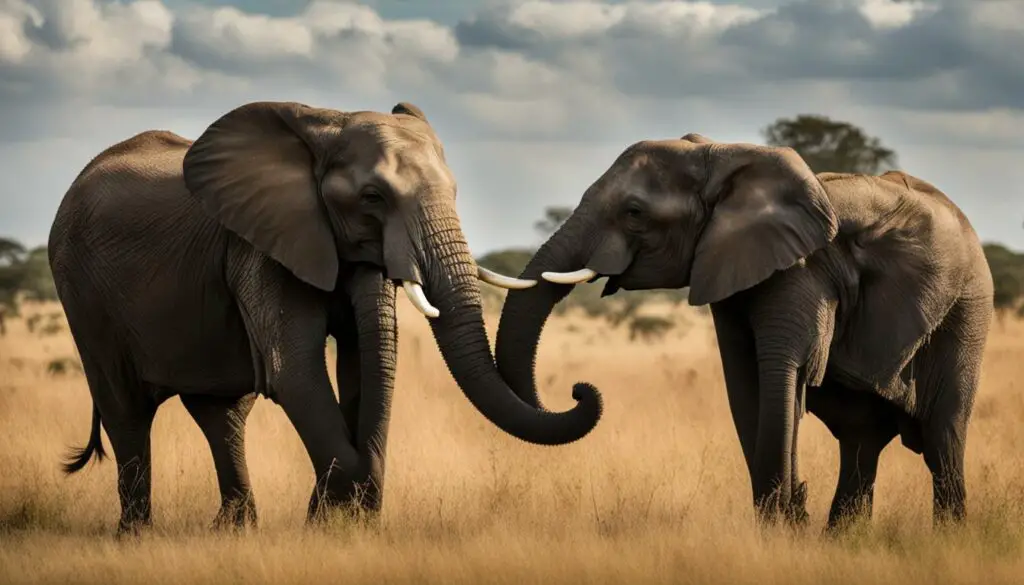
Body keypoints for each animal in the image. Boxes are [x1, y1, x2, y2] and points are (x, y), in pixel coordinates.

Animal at [48, 100, 603, 535]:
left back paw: (233, 530)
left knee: (221, 412)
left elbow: (367, 362)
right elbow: (295, 372)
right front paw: (338, 519)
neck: (323, 126)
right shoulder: (261, 243)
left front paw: (341, 519)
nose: (581, 390)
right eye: (373, 198)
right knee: (125, 408)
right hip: (80, 287)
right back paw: (136, 536)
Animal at [493, 133, 994, 531]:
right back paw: (842, 539)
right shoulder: (727, 269)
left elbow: (785, 372)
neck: (723, 157)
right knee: (860, 439)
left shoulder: (800, 268)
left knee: (942, 436)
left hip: (968, 310)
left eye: (634, 212)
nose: (581, 391)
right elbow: (744, 383)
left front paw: (786, 525)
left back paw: (947, 538)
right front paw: (785, 527)